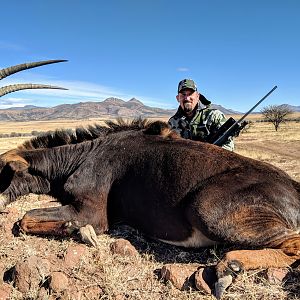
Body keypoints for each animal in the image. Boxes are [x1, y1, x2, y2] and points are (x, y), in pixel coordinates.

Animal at [0, 119, 300, 298]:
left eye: (2, 170)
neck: (83, 155)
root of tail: (294, 187)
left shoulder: (91, 212)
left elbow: (25, 219)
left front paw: (80, 231)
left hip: (206, 209)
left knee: (291, 245)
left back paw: (228, 267)